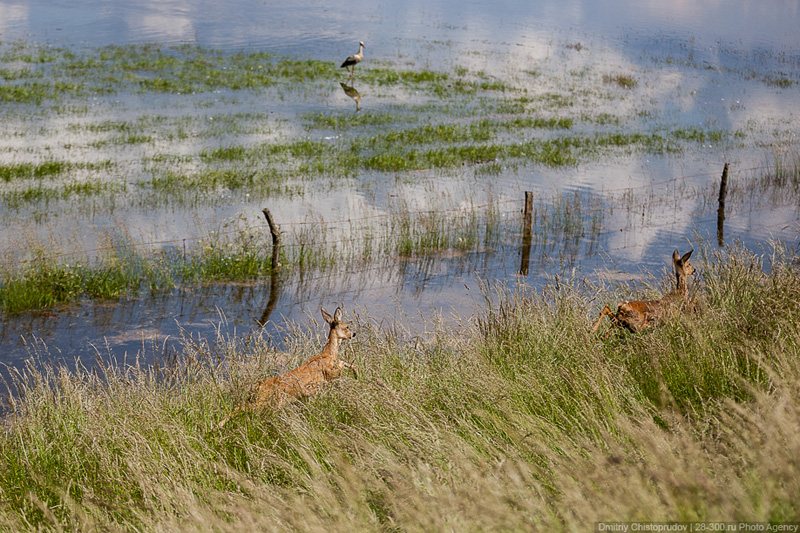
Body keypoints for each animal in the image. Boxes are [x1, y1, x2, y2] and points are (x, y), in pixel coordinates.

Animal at [219, 306, 356, 426]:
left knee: (241, 406)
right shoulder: (328, 373)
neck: (328, 354)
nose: (354, 333)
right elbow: (341, 367)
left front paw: (356, 373)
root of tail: (258, 388)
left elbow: (347, 364)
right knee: (244, 408)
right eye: (346, 326)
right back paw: (219, 425)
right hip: (267, 401)